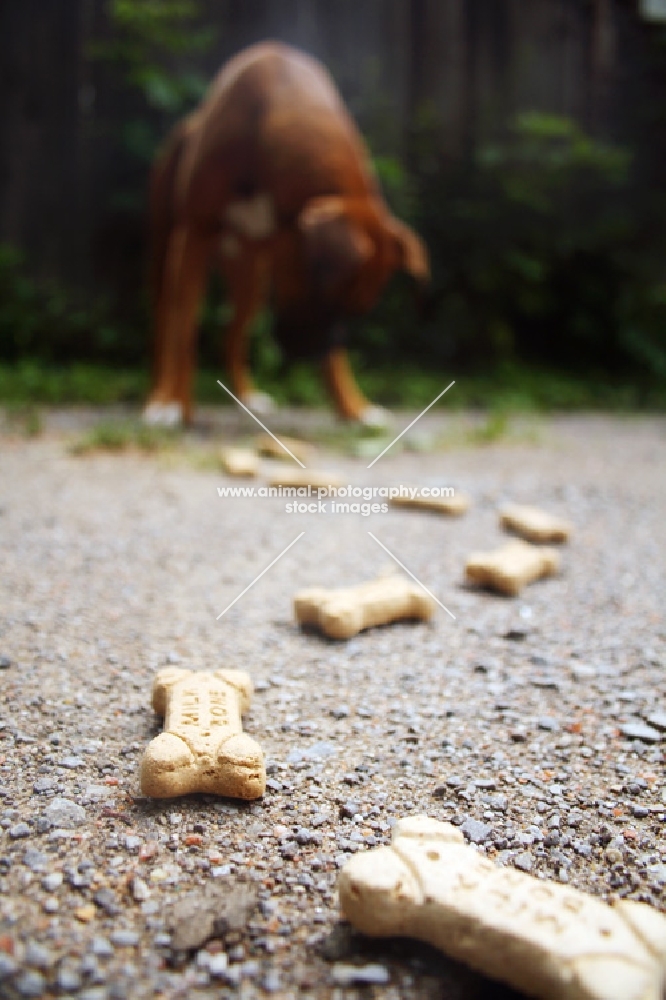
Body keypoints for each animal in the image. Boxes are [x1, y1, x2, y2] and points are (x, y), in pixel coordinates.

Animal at [143, 41, 428, 426]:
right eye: (325, 298)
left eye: (354, 310)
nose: (312, 352)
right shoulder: (195, 237)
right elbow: (185, 335)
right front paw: (175, 404)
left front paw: (353, 407)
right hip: (166, 259)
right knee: (167, 326)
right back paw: (158, 398)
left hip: (252, 281)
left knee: (232, 333)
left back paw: (246, 395)